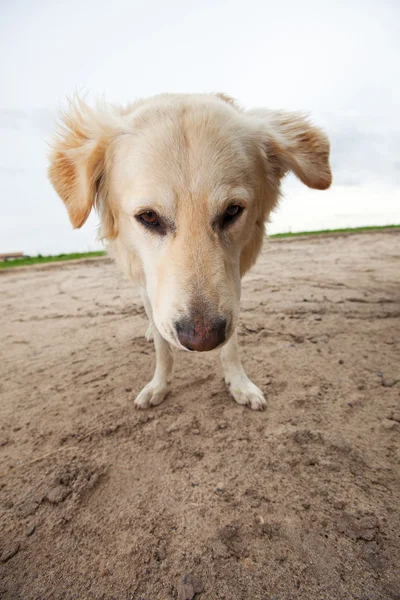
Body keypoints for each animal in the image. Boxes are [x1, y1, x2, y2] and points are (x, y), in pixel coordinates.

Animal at [48, 92, 332, 412]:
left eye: (232, 211)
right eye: (148, 217)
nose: (202, 341)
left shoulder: (232, 284)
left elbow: (231, 345)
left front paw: (239, 384)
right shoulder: (149, 287)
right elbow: (163, 347)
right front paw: (158, 385)